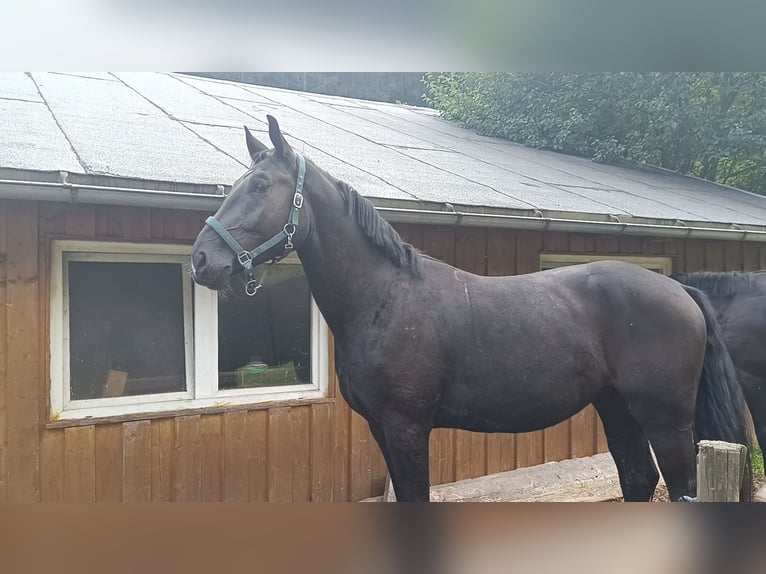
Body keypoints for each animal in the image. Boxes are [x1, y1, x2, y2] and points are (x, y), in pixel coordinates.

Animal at [190, 115, 752, 502]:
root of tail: (679, 291)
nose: (202, 259)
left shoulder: (407, 428)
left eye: (260, 185)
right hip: (617, 408)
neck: (383, 300)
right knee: (638, 479)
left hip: (668, 421)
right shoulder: (382, 429)